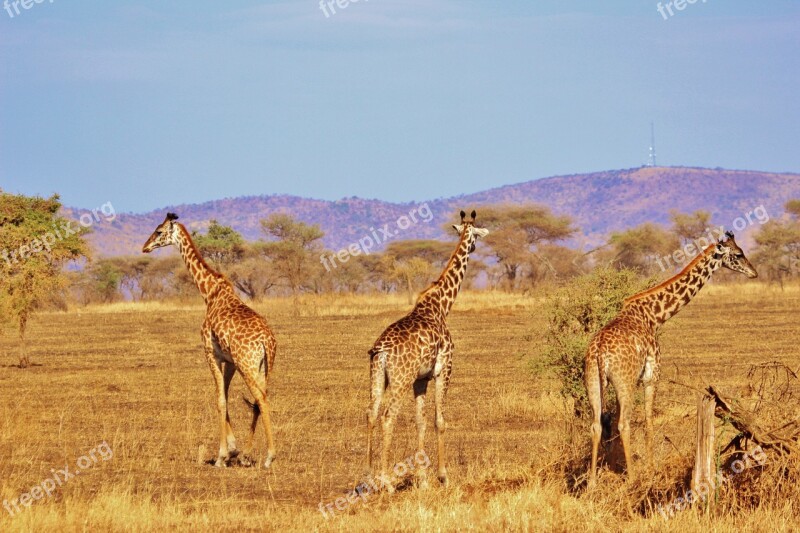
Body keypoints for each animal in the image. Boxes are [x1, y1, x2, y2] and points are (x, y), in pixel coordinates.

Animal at [144, 214, 278, 468]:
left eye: (158, 231)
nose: (145, 247)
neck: (209, 293)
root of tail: (267, 341)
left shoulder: (210, 352)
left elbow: (220, 400)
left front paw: (221, 456)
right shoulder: (229, 361)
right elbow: (224, 396)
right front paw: (233, 451)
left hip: (247, 364)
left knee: (261, 399)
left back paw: (268, 457)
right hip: (263, 366)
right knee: (260, 401)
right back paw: (247, 455)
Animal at [368, 209, 488, 490]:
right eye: (477, 235)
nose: (475, 247)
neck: (441, 306)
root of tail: (382, 351)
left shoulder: (420, 379)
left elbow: (420, 421)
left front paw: (422, 480)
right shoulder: (444, 369)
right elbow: (439, 421)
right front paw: (443, 476)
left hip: (378, 376)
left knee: (371, 414)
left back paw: (366, 476)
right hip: (400, 379)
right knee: (388, 416)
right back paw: (387, 482)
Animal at [580, 230, 756, 486]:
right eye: (738, 254)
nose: (754, 272)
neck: (654, 316)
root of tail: (600, 352)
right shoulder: (651, 375)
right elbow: (649, 421)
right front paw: (652, 469)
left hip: (593, 380)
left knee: (595, 425)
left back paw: (592, 482)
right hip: (624, 382)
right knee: (623, 424)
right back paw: (632, 477)